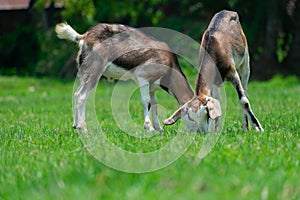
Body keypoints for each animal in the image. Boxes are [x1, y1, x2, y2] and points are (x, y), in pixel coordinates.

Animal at [55, 22, 193, 132]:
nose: (197, 132)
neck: (169, 63)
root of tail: (85, 36)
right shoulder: (143, 78)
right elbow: (146, 101)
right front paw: (149, 128)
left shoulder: (152, 86)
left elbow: (154, 103)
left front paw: (159, 129)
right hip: (94, 71)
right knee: (81, 96)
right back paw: (83, 128)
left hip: (86, 72)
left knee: (76, 93)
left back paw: (75, 125)